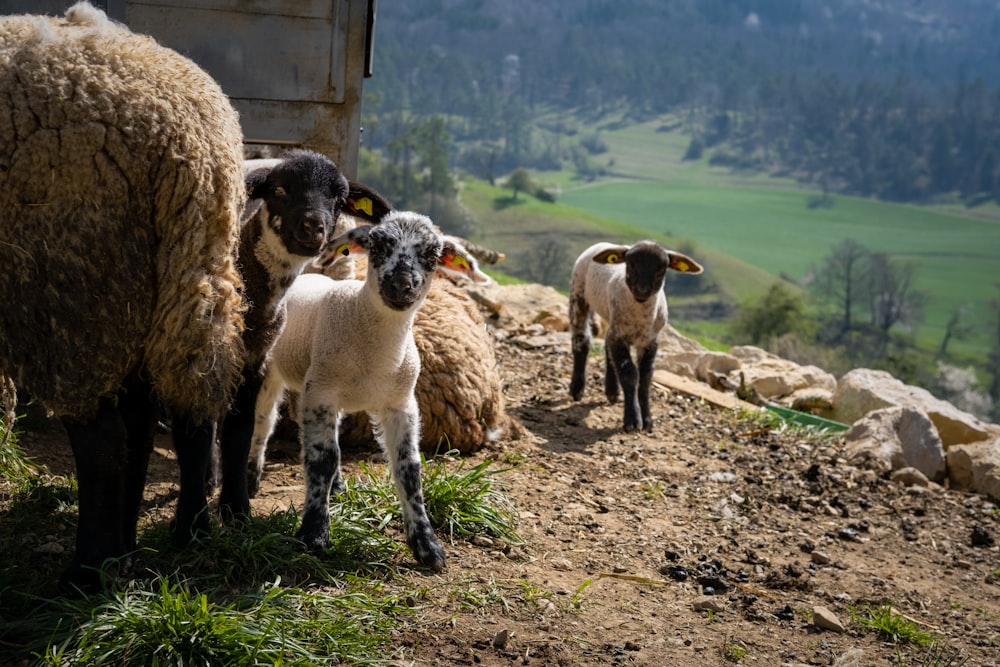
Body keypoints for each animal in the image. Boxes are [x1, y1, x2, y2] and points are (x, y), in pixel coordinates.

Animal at [0, 3, 248, 588]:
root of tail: (192, 138)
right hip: (150, 289)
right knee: (167, 418)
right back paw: (149, 543)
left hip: (73, 291)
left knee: (104, 441)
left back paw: (87, 572)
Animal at [250, 213, 484, 568]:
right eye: (377, 245)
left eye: (432, 255)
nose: (401, 285)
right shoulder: (321, 394)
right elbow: (322, 458)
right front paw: (314, 535)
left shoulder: (401, 403)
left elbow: (409, 467)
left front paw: (427, 546)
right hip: (276, 372)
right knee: (263, 422)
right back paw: (251, 476)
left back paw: (335, 488)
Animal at [572, 240, 704, 434]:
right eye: (631, 264)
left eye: (661, 269)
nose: (642, 291)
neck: (640, 316)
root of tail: (605, 243)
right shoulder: (620, 337)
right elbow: (629, 373)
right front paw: (633, 420)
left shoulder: (650, 341)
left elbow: (645, 377)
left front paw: (647, 420)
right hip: (578, 293)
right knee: (581, 340)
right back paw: (576, 389)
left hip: (611, 319)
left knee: (607, 345)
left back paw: (612, 391)